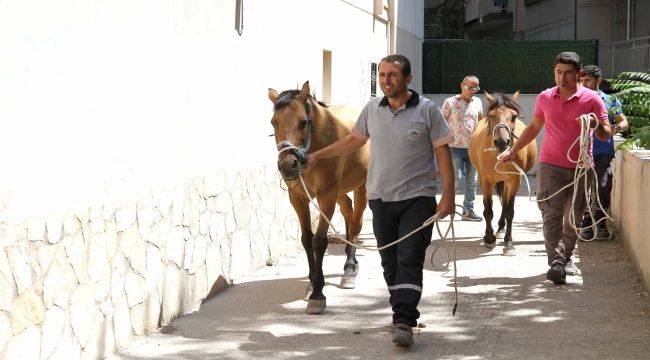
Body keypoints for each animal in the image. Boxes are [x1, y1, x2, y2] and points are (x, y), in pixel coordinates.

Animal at [268, 82, 370, 316]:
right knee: (349, 214)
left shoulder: (326, 197)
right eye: (274, 122)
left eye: (303, 122)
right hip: (341, 192)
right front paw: (311, 283)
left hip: (360, 188)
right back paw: (351, 262)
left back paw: (349, 269)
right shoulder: (298, 198)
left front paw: (317, 293)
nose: (288, 165)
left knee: (356, 222)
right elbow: (307, 239)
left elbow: (319, 241)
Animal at [468, 93, 536, 256]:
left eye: (514, 116)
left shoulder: (514, 181)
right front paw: (489, 238)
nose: (502, 142)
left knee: (504, 204)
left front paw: (508, 243)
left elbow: (509, 211)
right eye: (491, 115)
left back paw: (501, 228)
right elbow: (488, 210)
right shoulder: (485, 180)